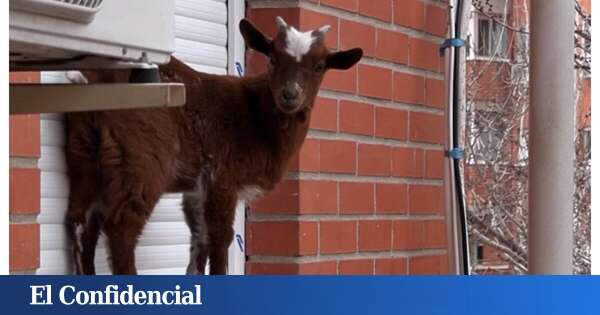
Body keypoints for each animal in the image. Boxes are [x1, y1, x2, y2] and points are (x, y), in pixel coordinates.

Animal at [67, 16, 366, 274]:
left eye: (319, 66)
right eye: (272, 58)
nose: (290, 94)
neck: (256, 116)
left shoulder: (198, 189)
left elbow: (200, 239)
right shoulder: (222, 177)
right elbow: (221, 238)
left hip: (85, 150)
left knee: (80, 220)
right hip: (143, 156)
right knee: (122, 224)